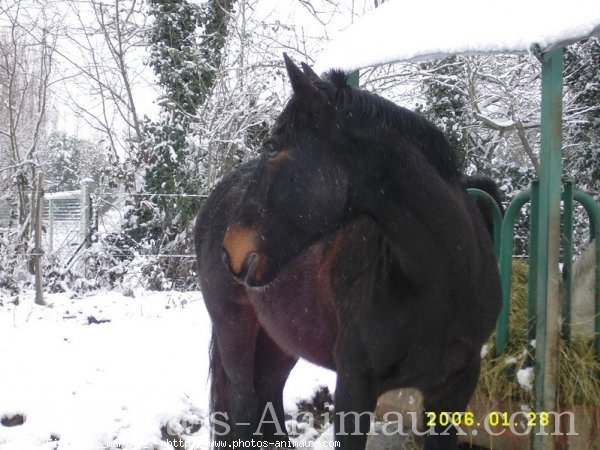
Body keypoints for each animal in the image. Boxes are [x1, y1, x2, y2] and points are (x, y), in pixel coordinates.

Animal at [196, 53, 502, 450]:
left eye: (272, 147)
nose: (229, 249)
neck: (442, 280)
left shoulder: (453, 391)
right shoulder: (354, 388)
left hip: (278, 342)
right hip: (236, 334)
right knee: (246, 409)